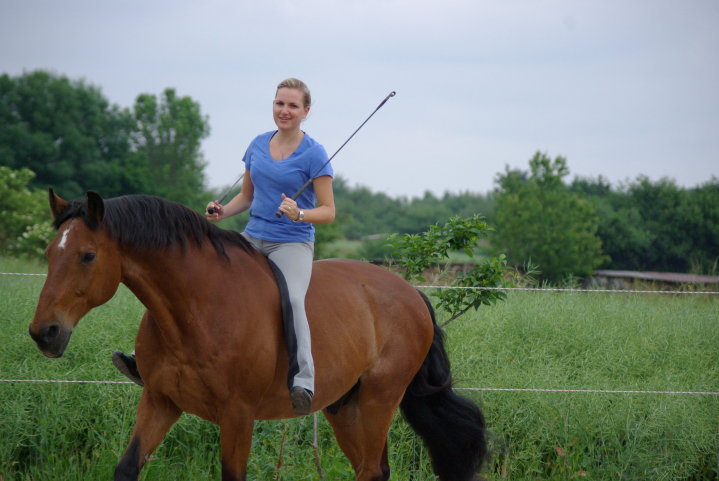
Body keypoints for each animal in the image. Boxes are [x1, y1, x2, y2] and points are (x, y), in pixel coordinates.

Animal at [29, 190, 490, 480]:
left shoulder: (237, 416)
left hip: (381, 399)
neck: (195, 309)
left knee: (370, 469)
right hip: (345, 407)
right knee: (375, 469)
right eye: (50, 253)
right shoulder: (160, 402)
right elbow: (127, 467)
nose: (43, 333)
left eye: (88, 255)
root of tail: (411, 292)